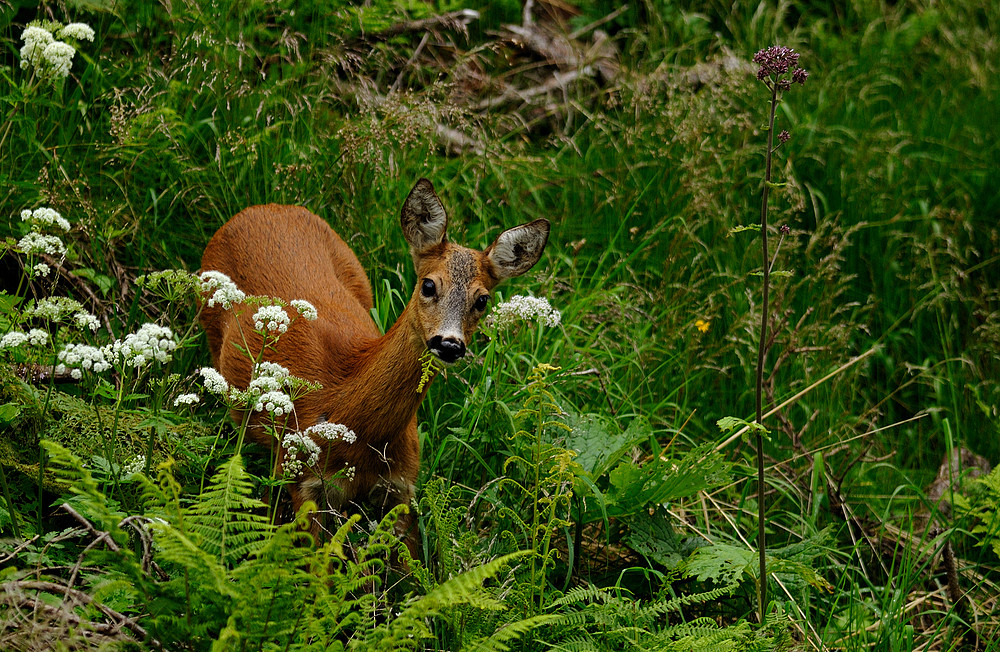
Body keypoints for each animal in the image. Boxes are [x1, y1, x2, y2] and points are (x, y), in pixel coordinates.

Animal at [200, 180, 552, 556]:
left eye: (483, 299)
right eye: (429, 284)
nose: (449, 344)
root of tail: (265, 207)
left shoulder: (402, 487)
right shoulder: (304, 482)